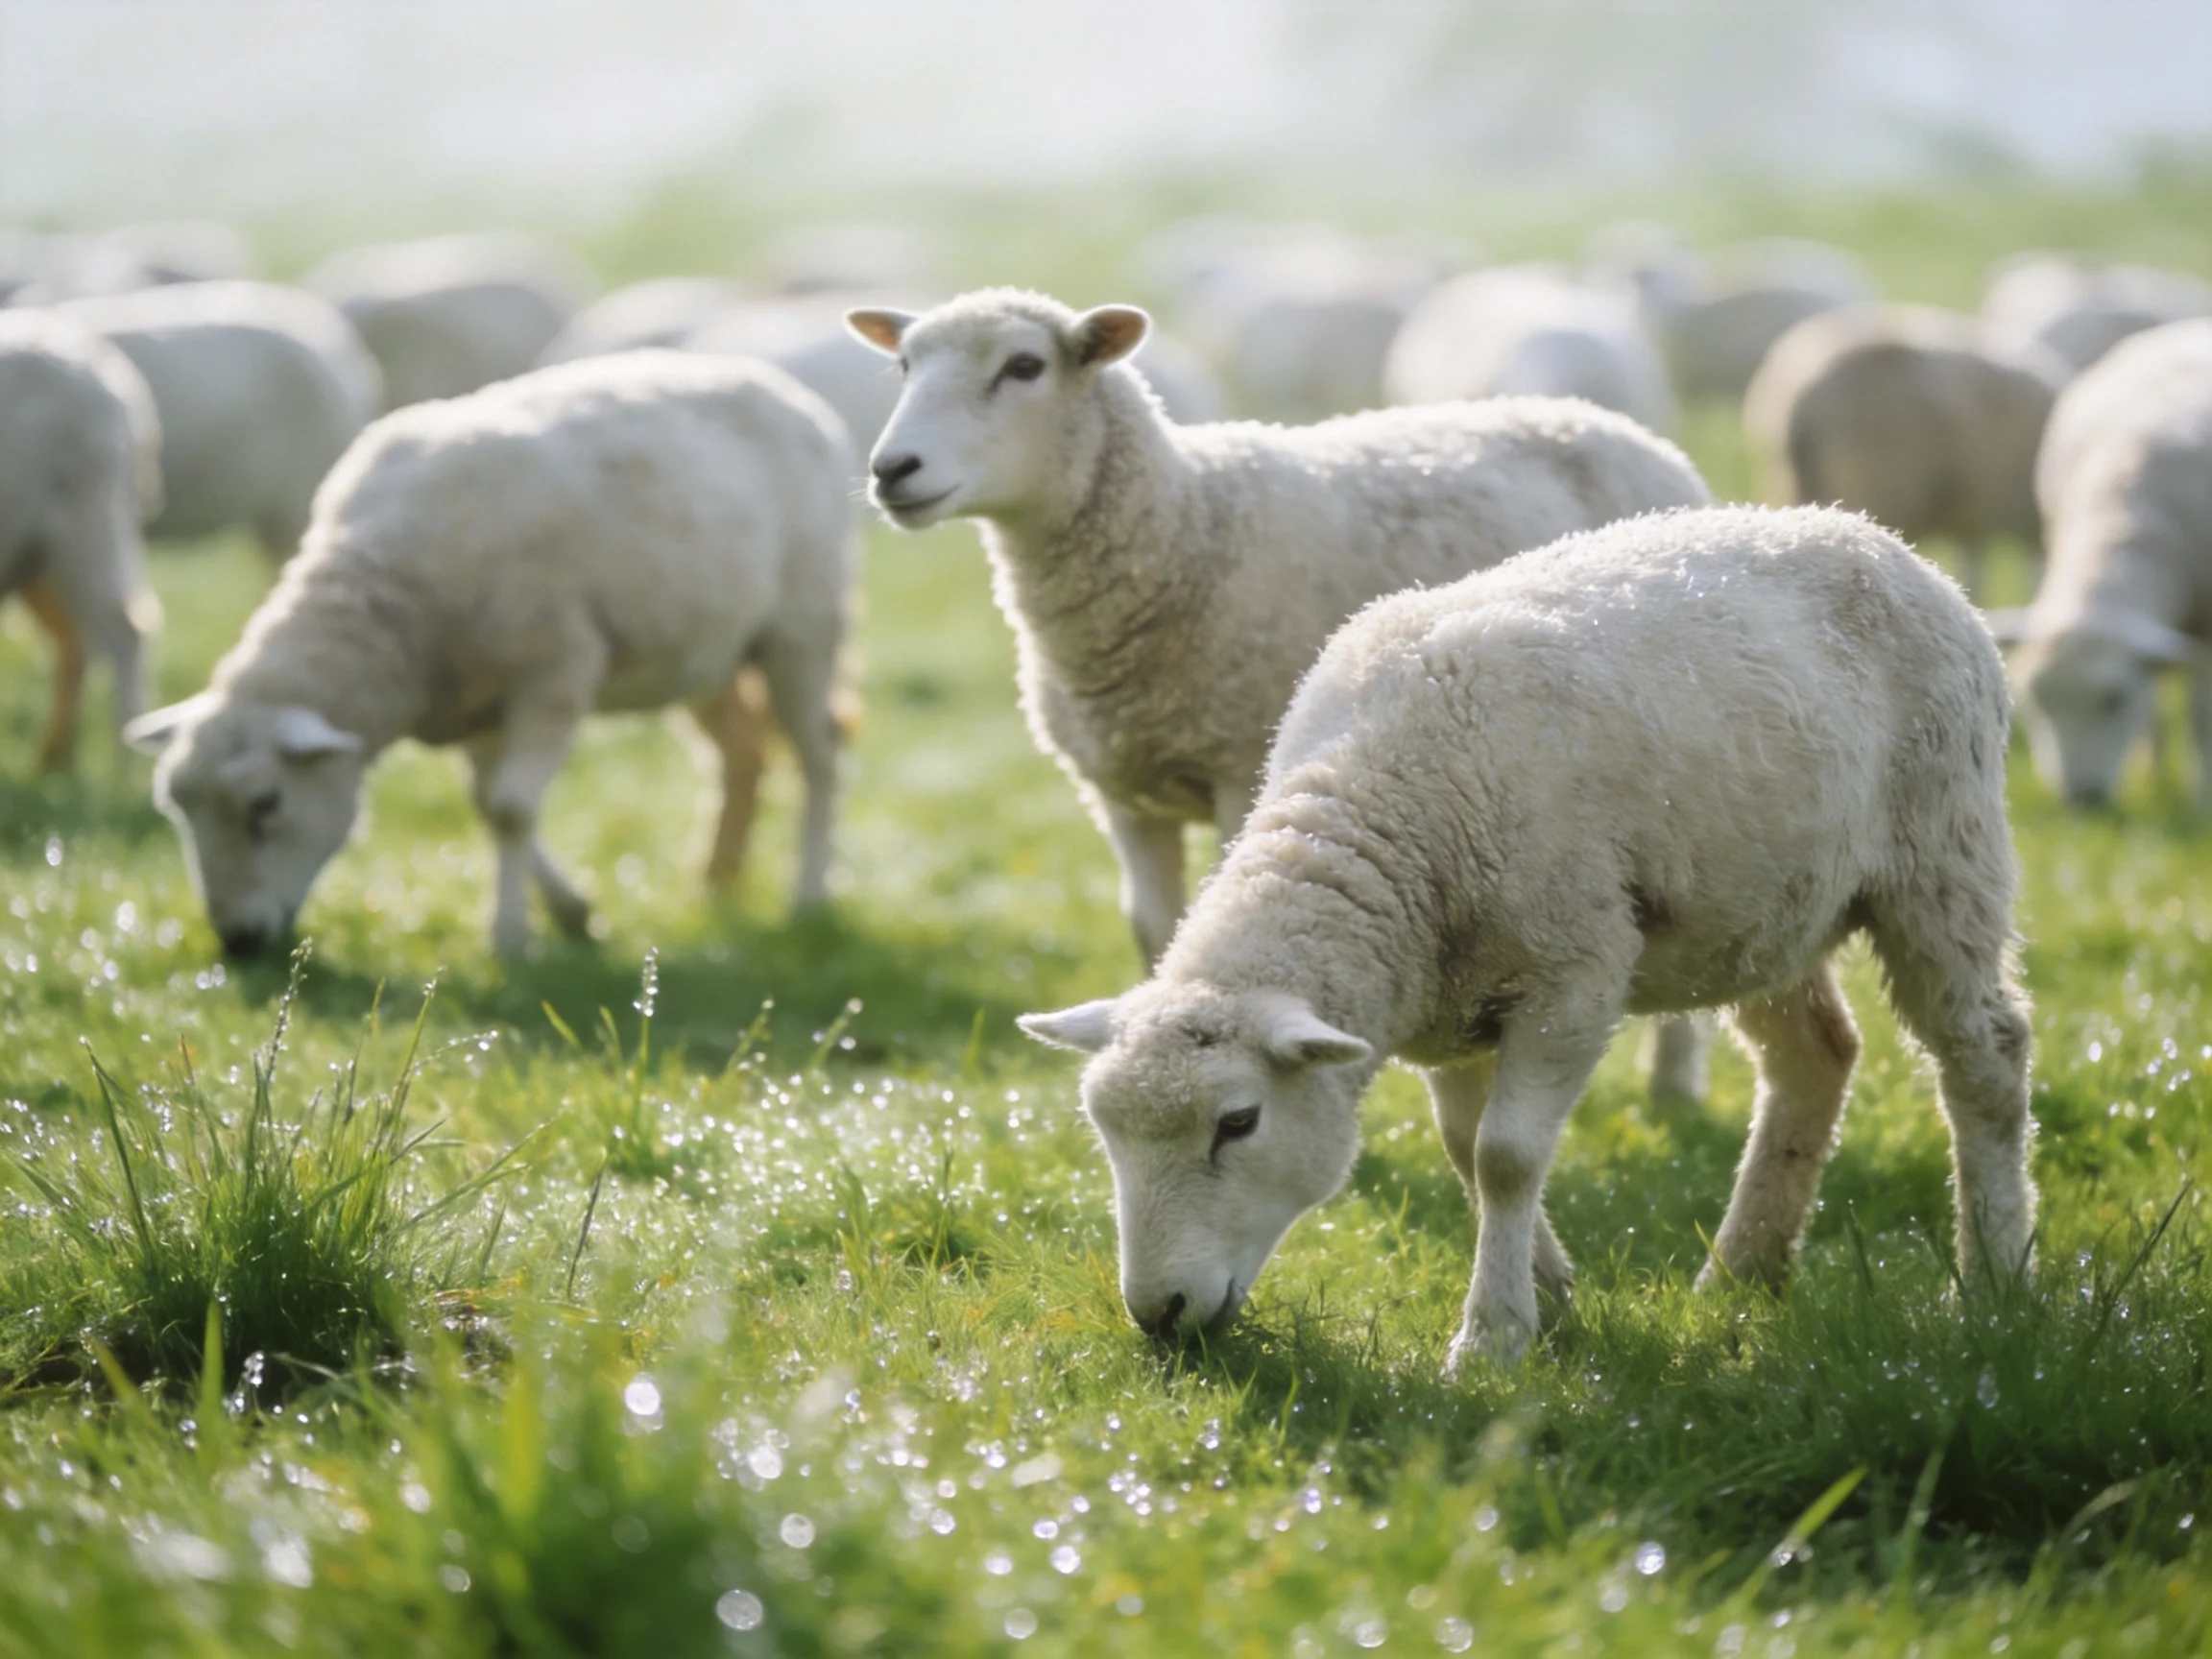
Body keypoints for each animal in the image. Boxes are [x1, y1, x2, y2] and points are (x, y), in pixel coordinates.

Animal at [0, 311, 161, 769]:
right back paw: (52, 759)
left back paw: (126, 762)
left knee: (124, 631)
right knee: (74, 642)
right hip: (36, 550)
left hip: (90, 520)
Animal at [122, 350, 855, 959]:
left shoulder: (555, 674)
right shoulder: (475, 700)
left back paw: (810, 894)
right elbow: (486, 805)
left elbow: (510, 810)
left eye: (265, 804)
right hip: (708, 650)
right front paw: (571, 911)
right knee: (742, 752)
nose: (238, 943)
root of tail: (776, 385)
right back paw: (717, 880)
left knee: (819, 753)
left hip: (804, 625)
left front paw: (509, 938)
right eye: (176, 809)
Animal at [849, 286, 1717, 1101]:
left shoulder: (1243, 766)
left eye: (1024, 366)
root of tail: (1606, 422)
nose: (891, 470)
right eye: (903, 365)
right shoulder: (1119, 792)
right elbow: (1153, 929)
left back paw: (1672, 1088)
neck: (1182, 528)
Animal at [1021, 504, 2037, 1369]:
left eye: (1239, 1123)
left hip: (1940, 852)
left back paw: (1993, 1279)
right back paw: (1741, 1273)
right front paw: (1547, 1293)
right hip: (1764, 911)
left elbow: (1506, 1157)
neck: (1381, 812)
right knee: (1816, 1056)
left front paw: (1493, 1337)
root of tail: (1873, 535)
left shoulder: (1572, 974)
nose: (1158, 1316)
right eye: (1103, 1131)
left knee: (1985, 1051)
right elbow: (1463, 1149)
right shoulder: (1448, 999)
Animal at [1984, 319, 2212, 808]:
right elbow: (2154, 700)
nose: (2081, 800)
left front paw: (2204, 795)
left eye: (2114, 699)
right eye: (2036, 699)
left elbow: (2201, 715)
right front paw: (2153, 771)